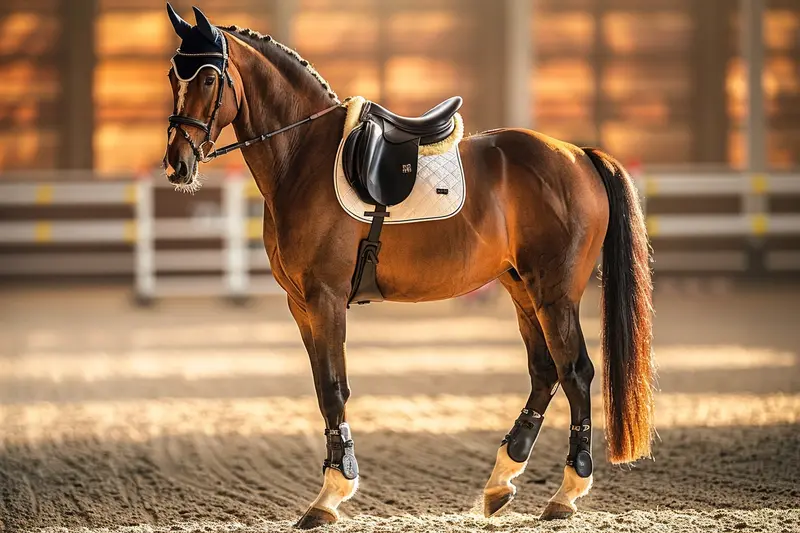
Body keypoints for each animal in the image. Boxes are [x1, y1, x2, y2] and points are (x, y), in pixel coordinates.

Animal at [162, 5, 655, 529]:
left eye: (208, 77)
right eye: (174, 75)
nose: (177, 165)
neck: (302, 156)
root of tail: (579, 155)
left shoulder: (325, 298)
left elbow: (334, 389)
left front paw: (331, 494)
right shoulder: (301, 304)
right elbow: (322, 389)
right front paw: (331, 489)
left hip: (555, 293)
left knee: (575, 371)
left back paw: (566, 492)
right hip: (521, 288)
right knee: (545, 372)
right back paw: (502, 477)